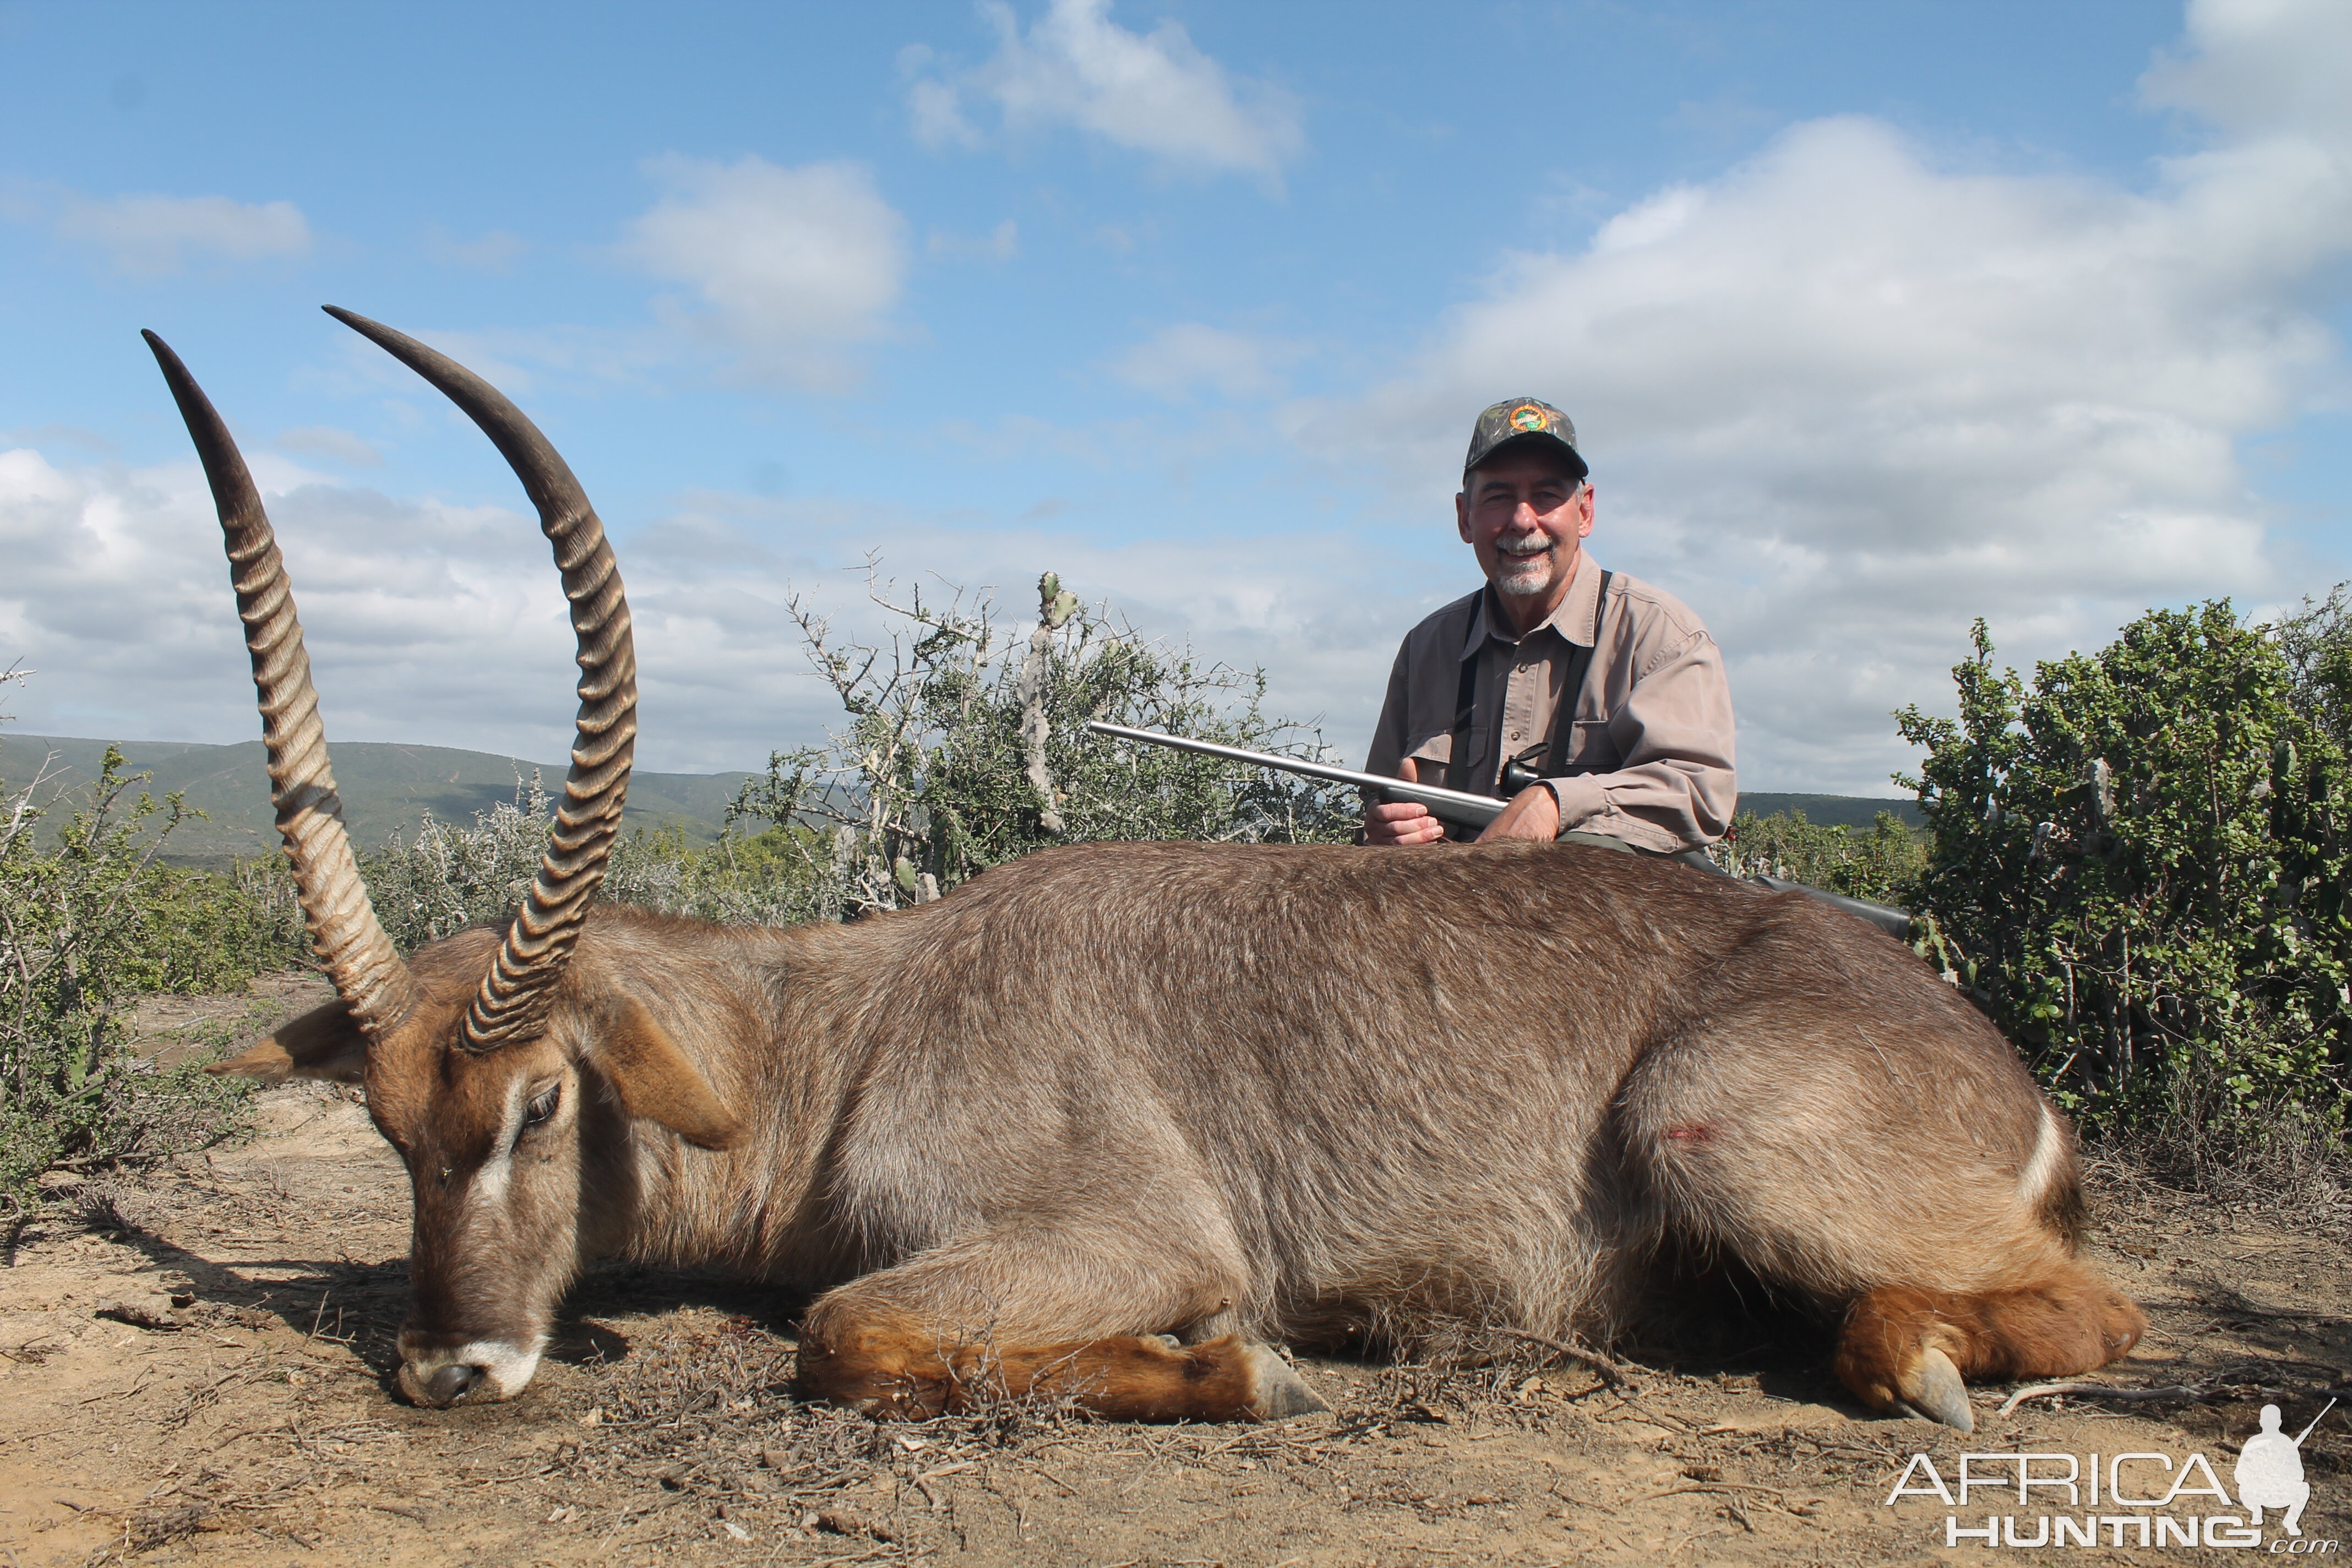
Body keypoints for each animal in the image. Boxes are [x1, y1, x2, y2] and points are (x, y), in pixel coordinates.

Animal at [137, 312, 2145, 1429]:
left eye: (542, 1101)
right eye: (386, 1122)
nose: (446, 1370)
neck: (841, 1032)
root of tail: (1992, 1057)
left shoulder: (1130, 1234)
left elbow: (848, 1328)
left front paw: (1240, 1370)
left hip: (1706, 1127)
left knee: (2089, 1311)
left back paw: (1914, 1351)